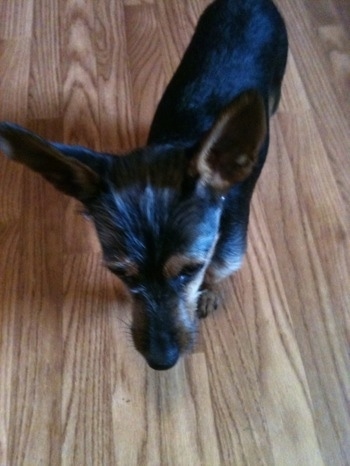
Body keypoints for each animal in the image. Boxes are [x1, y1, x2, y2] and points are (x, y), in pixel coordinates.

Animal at [0, 0, 288, 372]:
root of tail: (249, 2)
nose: (161, 361)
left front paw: (209, 291)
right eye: (122, 273)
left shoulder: (229, 246)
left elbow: (219, 269)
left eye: (190, 269)